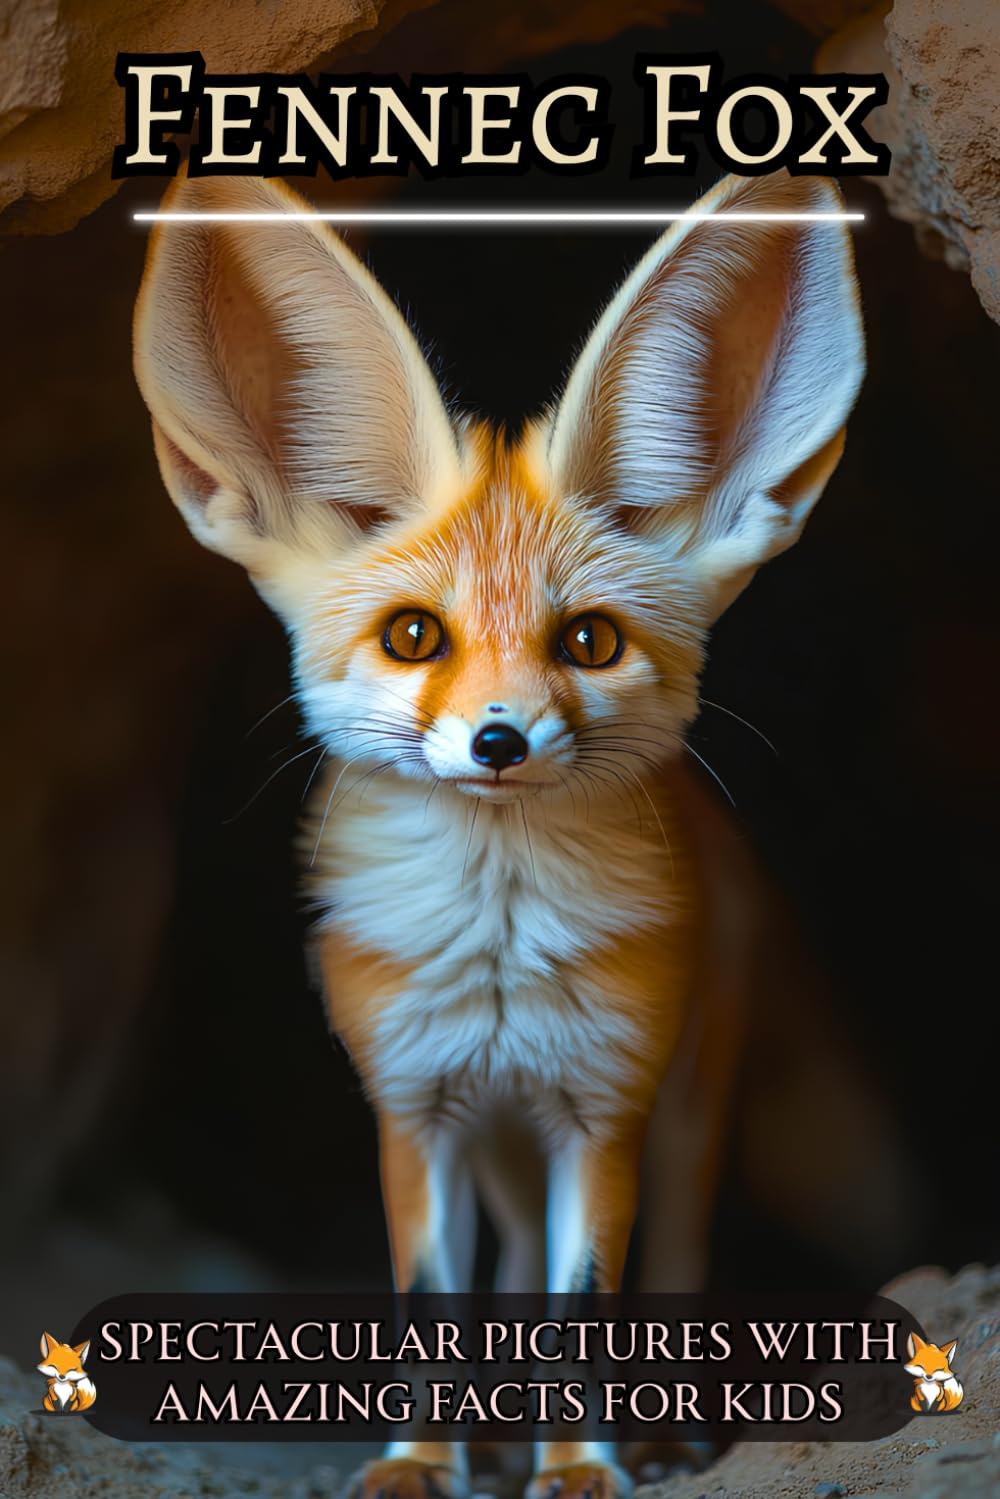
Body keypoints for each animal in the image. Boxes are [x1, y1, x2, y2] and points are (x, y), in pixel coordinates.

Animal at [133, 166, 864, 1499]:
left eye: (589, 642)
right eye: (415, 636)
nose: (498, 740)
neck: (497, 953)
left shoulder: (602, 1110)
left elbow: (585, 1303)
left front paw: (578, 1463)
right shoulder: (414, 1108)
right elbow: (438, 1300)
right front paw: (421, 1459)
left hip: (684, 1106)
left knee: (673, 1260)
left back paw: (658, 1437)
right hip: (504, 1147)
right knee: (514, 1266)